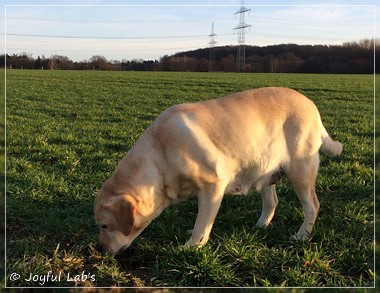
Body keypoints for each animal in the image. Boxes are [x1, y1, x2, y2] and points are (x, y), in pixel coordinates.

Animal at [94, 86, 342, 253]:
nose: (98, 249)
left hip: (300, 171)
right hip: (264, 168)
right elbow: (201, 220)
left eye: (105, 225)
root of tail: (311, 105)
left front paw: (191, 247)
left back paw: (301, 236)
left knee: (312, 206)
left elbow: (202, 224)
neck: (161, 155)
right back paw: (260, 226)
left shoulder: (213, 186)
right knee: (272, 201)